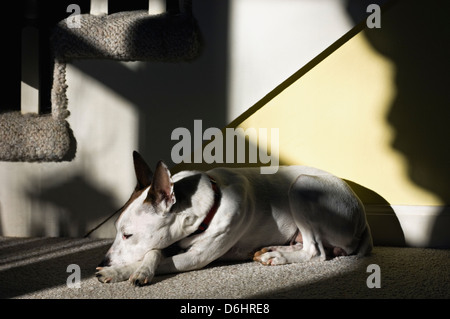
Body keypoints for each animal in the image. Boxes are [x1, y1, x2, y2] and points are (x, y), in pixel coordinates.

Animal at [96, 151, 372, 286]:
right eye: (116, 230)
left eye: (128, 235)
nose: (102, 260)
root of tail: (363, 217)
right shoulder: (170, 243)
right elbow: (153, 252)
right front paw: (132, 269)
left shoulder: (194, 258)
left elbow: (152, 256)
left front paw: (118, 271)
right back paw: (274, 249)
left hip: (301, 186)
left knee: (316, 251)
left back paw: (278, 256)